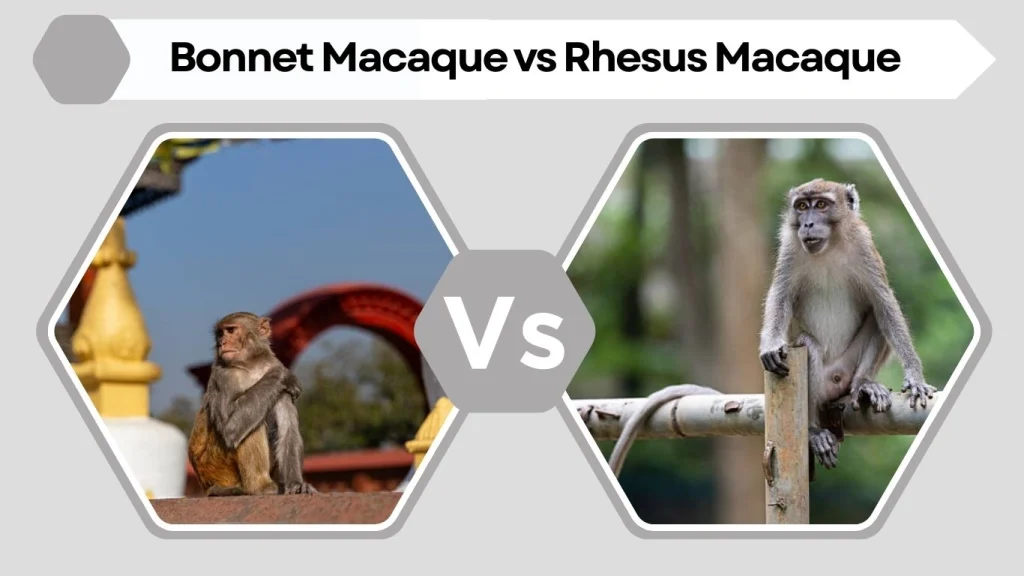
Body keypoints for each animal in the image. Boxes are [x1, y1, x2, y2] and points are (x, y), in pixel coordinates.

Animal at [187, 312, 317, 496]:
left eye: (230, 331)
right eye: (220, 334)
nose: (222, 343)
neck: (251, 365)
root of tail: (206, 484)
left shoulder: (282, 389)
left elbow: (288, 432)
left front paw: (297, 484)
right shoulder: (223, 374)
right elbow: (230, 427)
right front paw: (281, 374)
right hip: (216, 466)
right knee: (250, 427)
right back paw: (260, 487)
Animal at [758, 178, 935, 472]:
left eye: (821, 204)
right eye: (802, 206)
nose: (808, 223)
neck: (829, 247)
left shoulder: (864, 246)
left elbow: (883, 304)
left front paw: (915, 377)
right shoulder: (790, 248)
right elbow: (780, 296)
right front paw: (771, 346)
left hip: (847, 369)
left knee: (876, 316)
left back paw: (864, 385)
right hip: (822, 382)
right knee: (808, 346)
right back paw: (813, 431)